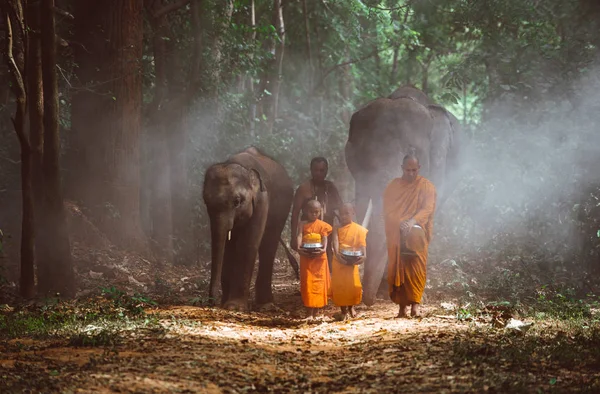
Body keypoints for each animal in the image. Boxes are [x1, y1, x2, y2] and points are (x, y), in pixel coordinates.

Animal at [203, 147, 294, 310]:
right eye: (205, 201)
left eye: (237, 201)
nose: (211, 303)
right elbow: (229, 245)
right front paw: (226, 303)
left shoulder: (262, 200)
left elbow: (247, 243)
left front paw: (234, 307)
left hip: (283, 207)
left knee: (268, 244)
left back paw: (265, 304)